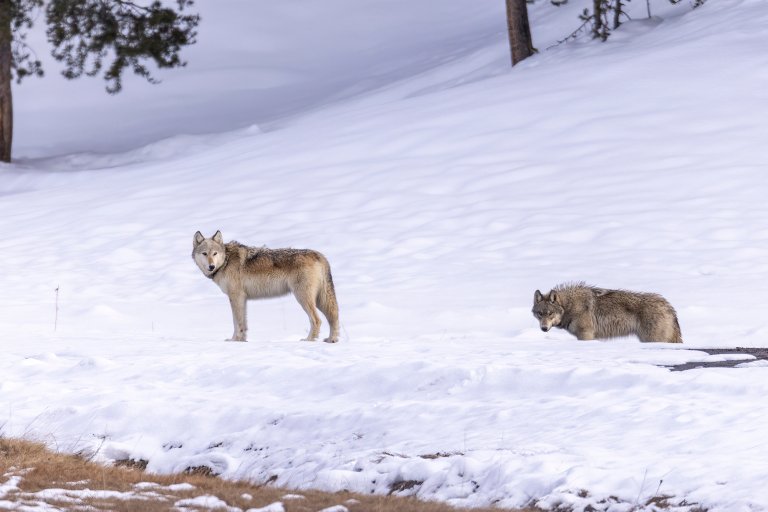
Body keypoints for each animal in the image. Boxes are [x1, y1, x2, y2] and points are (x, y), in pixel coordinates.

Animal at [192, 231, 340, 343]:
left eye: (214, 253)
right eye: (204, 253)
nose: (211, 266)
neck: (226, 261)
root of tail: (319, 255)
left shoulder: (236, 297)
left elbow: (237, 322)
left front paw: (234, 340)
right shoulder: (242, 299)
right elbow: (243, 323)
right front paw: (242, 341)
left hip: (303, 298)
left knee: (317, 320)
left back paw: (308, 340)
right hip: (319, 300)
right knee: (333, 315)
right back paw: (331, 339)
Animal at [532, 283, 682, 343]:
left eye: (550, 313)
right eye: (540, 314)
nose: (544, 328)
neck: (569, 306)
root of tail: (669, 307)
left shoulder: (585, 335)